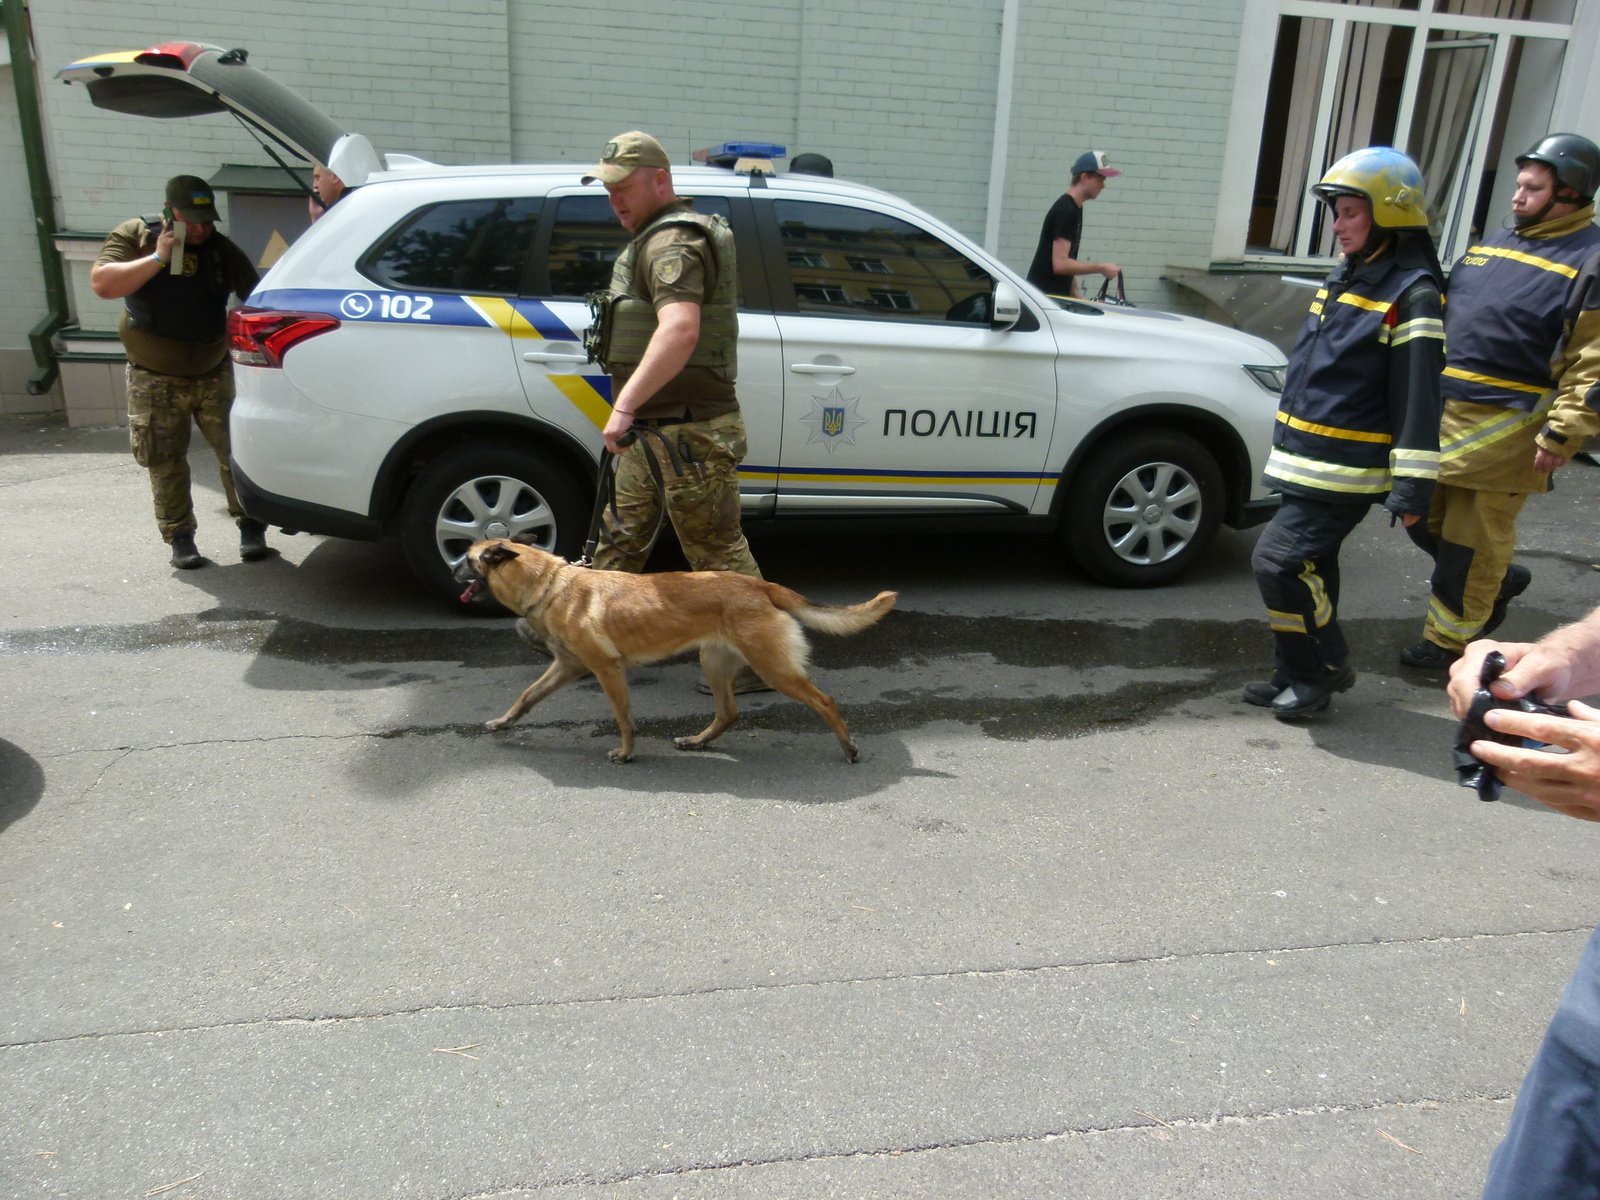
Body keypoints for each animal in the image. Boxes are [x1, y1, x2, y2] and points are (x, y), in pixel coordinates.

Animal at [457, 540, 896, 764]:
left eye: (467, 559)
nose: (450, 568)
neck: (549, 583)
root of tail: (761, 585)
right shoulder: (566, 667)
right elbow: (526, 697)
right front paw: (503, 722)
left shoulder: (607, 671)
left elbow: (624, 720)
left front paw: (626, 753)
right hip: (714, 663)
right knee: (728, 713)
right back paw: (698, 742)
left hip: (774, 668)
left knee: (825, 701)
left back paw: (848, 748)